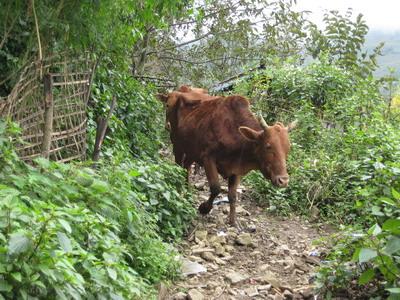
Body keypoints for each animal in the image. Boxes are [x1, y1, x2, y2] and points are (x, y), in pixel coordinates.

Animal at [170, 94, 296, 225]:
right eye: (268, 146)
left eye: (288, 148)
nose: (283, 181)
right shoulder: (207, 158)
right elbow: (216, 188)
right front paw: (204, 208)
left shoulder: (236, 169)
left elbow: (232, 195)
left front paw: (233, 221)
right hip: (177, 145)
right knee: (178, 166)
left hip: (191, 151)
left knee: (186, 167)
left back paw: (188, 190)